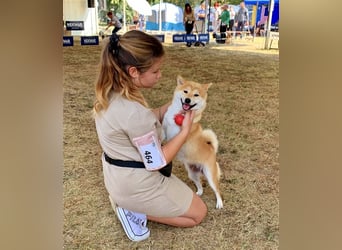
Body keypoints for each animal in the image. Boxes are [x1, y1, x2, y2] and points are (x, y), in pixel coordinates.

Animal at [164, 75, 224, 208]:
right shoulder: (165, 125)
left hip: (210, 175)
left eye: (196, 95)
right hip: (192, 173)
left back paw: (219, 203)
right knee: (200, 184)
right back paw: (199, 193)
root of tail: (212, 149)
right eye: (185, 91)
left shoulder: (178, 135)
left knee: (217, 190)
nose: (187, 100)